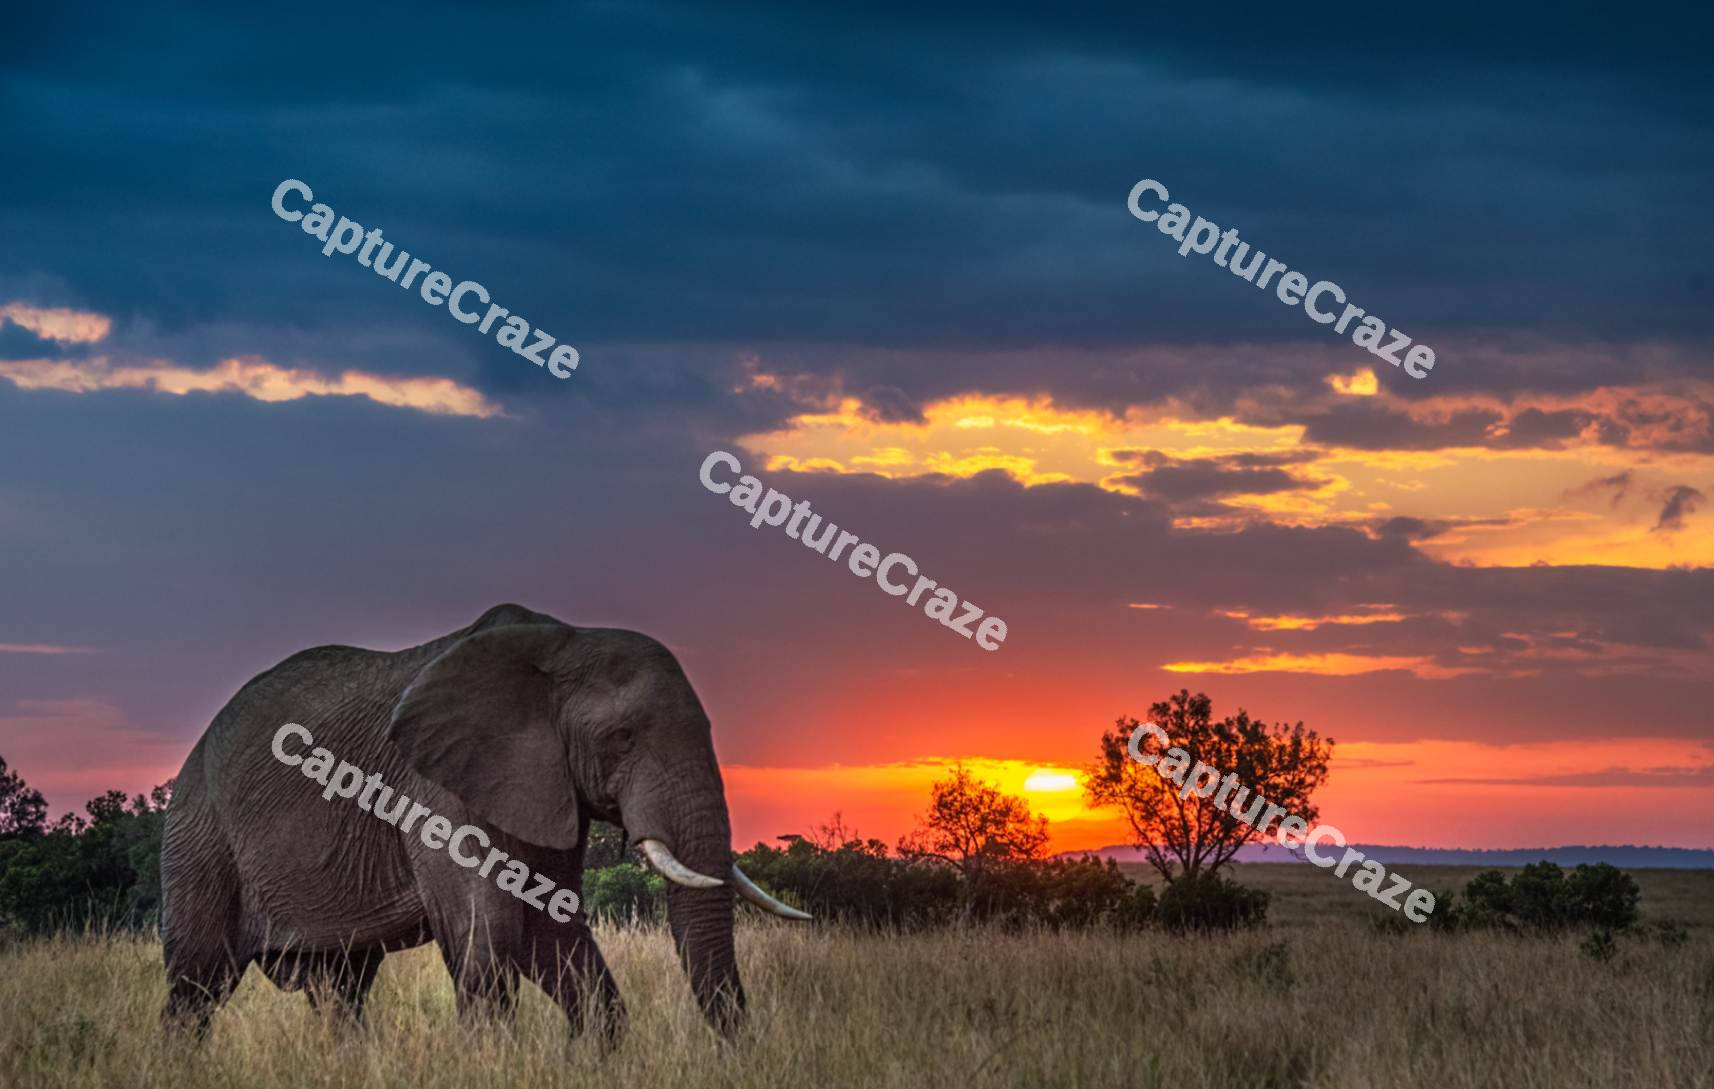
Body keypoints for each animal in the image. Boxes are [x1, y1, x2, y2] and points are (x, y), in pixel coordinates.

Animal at [159, 603, 808, 1042]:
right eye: (622, 738)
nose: (739, 1052)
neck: (561, 645)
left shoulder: (542, 783)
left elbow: (551, 930)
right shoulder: (436, 786)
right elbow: (492, 931)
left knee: (340, 987)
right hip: (199, 833)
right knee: (196, 984)